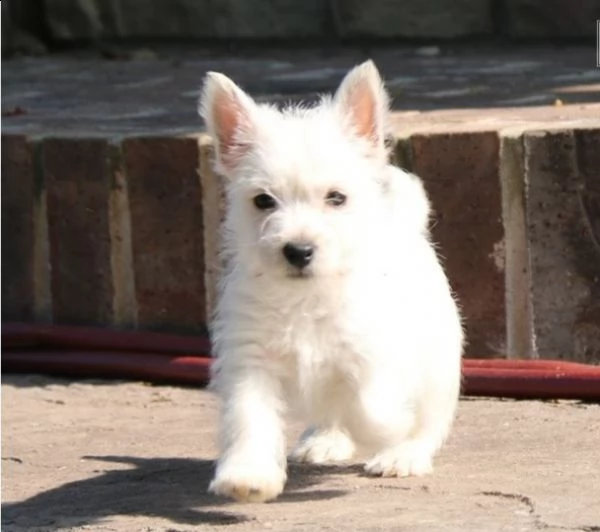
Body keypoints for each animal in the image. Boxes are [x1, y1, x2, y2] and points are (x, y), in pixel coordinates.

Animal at [199, 61, 462, 502]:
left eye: (336, 197)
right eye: (263, 201)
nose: (298, 250)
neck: (307, 297)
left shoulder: (373, 356)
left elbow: (371, 408)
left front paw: (392, 429)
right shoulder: (250, 362)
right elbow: (249, 416)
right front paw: (248, 475)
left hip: (439, 363)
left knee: (428, 419)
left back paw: (403, 454)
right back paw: (325, 439)